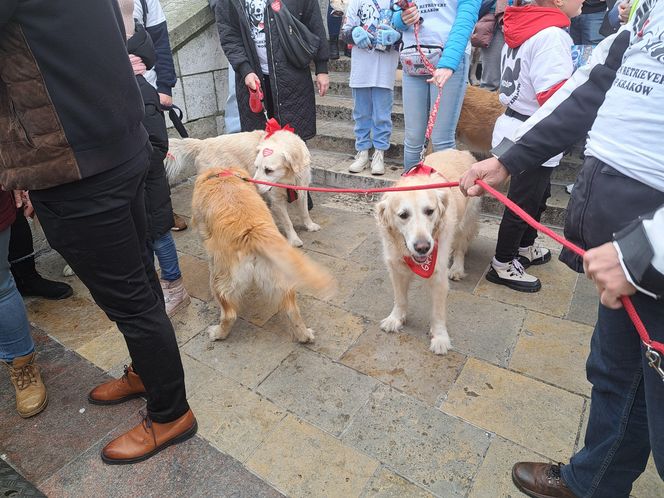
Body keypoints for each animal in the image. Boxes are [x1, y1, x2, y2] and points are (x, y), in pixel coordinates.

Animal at [167, 127, 320, 246]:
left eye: (268, 170)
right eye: (256, 167)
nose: (255, 187)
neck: (288, 178)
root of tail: (203, 143)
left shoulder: (302, 189)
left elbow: (304, 212)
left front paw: (310, 226)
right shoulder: (277, 201)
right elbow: (288, 222)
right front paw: (294, 240)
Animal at [192, 166, 338, 342]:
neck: (223, 174)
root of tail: (252, 232)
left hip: (220, 282)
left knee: (229, 314)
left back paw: (218, 333)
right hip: (279, 277)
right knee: (292, 310)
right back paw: (304, 336)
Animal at [376, 148, 480, 354]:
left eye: (430, 211)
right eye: (403, 215)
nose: (423, 247)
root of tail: (462, 151)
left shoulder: (438, 273)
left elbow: (438, 313)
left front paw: (440, 338)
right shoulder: (395, 266)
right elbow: (400, 298)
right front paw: (395, 319)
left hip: (466, 220)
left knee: (461, 246)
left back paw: (457, 268)